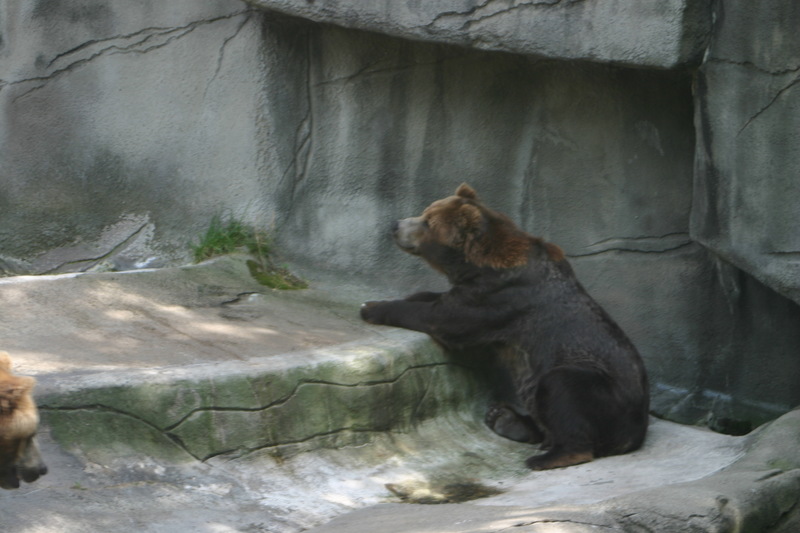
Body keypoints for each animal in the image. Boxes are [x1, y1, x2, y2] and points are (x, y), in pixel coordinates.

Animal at [361, 184, 649, 470]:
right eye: (426, 211)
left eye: (427, 221)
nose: (396, 225)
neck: (478, 264)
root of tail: (636, 432)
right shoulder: (478, 291)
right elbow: (437, 299)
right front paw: (413, 295)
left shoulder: (500, 296)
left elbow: (444, 319)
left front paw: (371, 307)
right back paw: (504, 418)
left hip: (603, 390)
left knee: (563, 387)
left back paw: (545, 456)